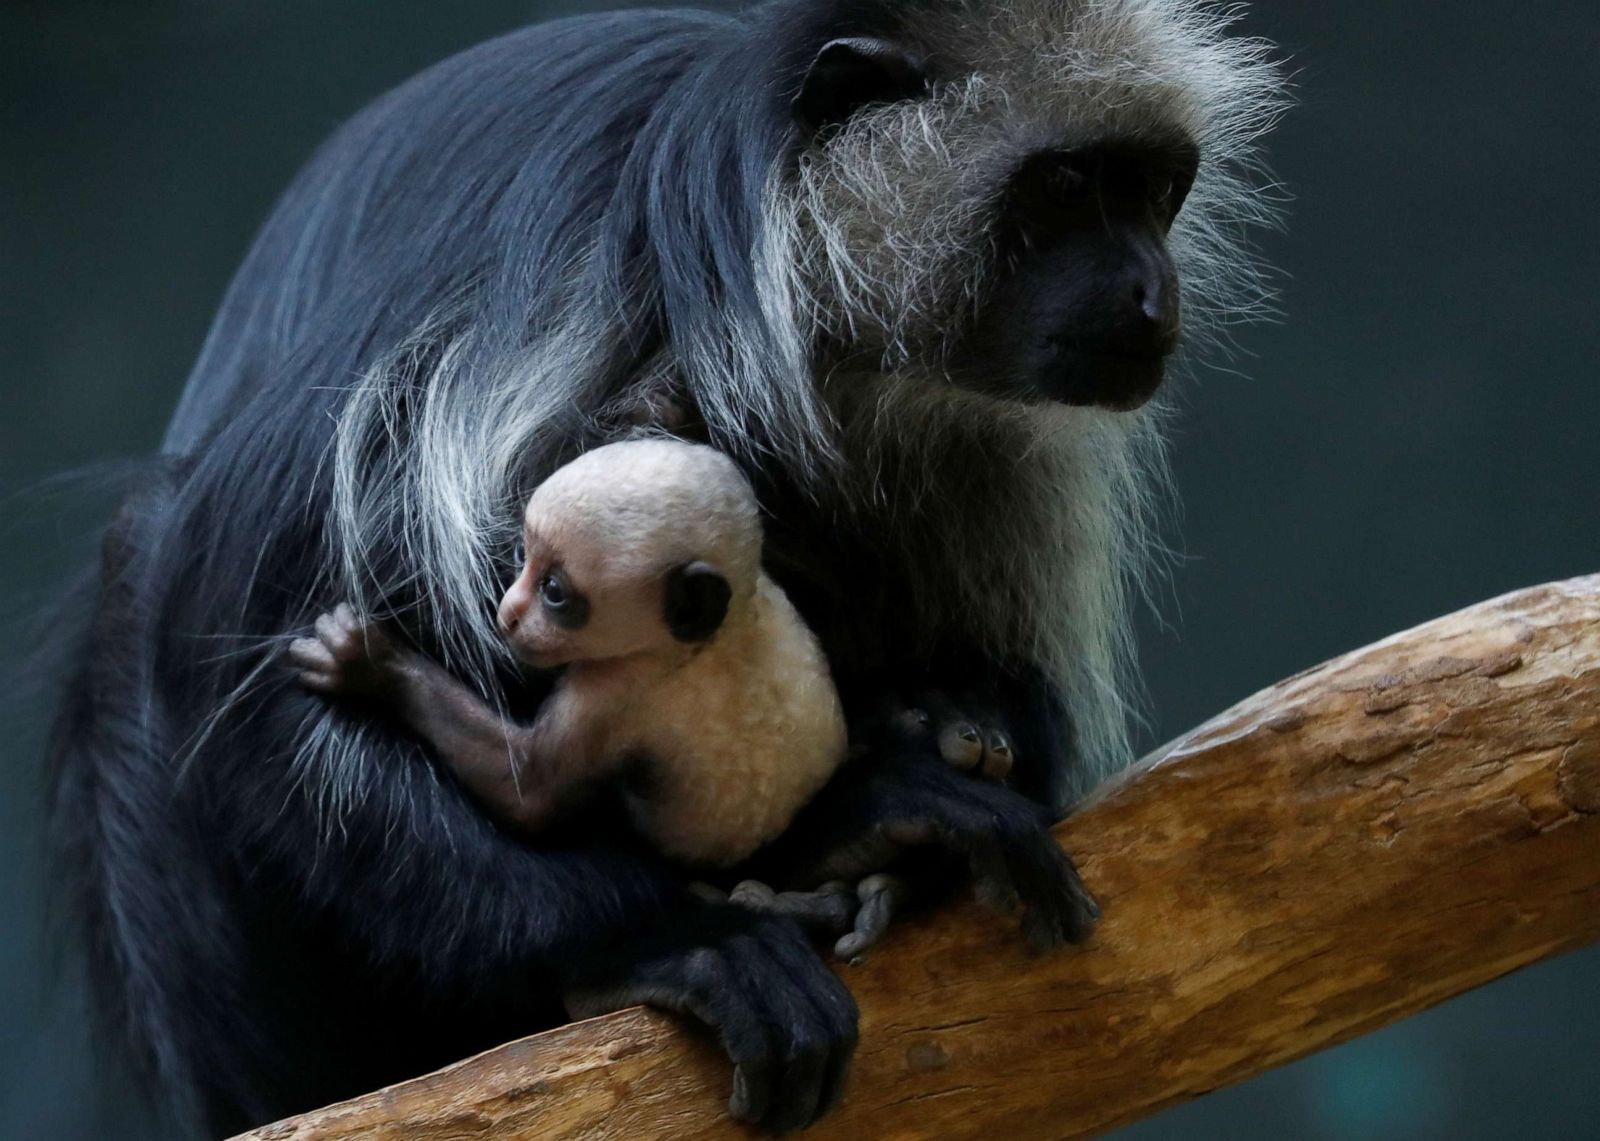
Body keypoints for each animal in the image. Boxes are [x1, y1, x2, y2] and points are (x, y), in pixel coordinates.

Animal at [296, 441, 857, 870]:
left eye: (554, 593)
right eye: (524, 558)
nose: (507, 615)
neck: (718, 635)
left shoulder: (616, 691)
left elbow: (531, 791)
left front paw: (367, 662)